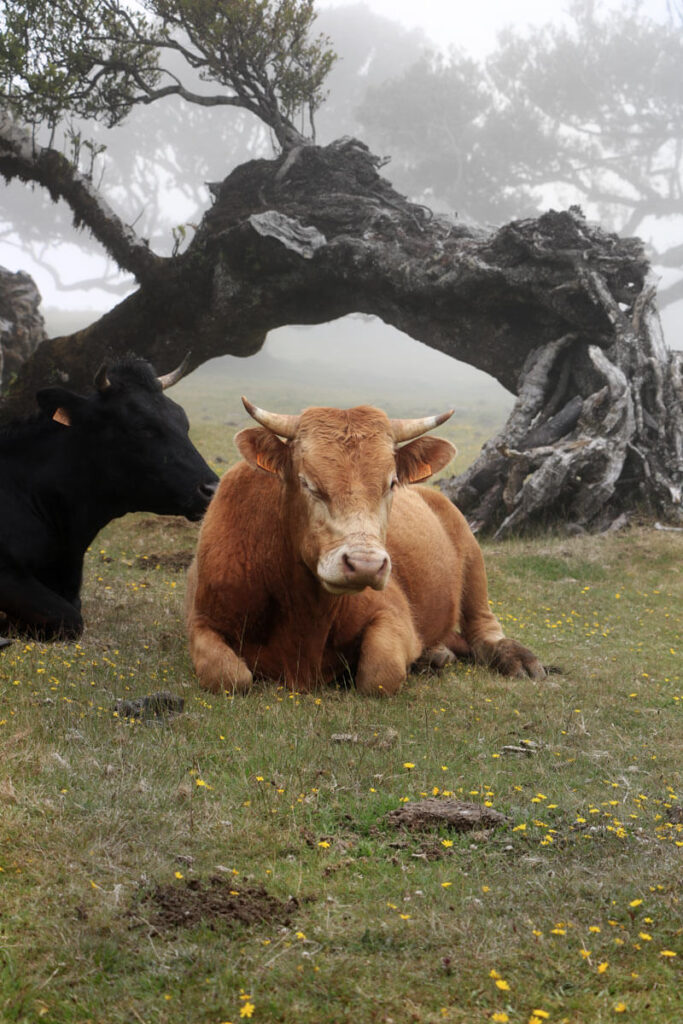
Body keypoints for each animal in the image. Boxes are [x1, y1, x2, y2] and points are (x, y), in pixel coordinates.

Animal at [187, 399, 544, 696]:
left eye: (391, 483)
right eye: (307, 483)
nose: (365, 565)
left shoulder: (393, 615)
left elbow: (379, 674)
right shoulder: (202, 620)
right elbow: (229, 676)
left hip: (472, 558)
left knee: (484, 630)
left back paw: (515, 658)